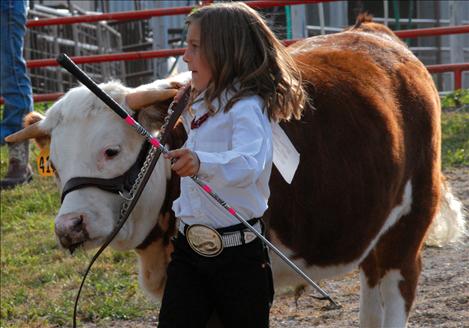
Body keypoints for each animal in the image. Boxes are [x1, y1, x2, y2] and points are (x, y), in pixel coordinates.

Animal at [6, 16, 464, 328]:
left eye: (111, 150)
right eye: (57, 166)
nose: (70, 227)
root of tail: (372, 31)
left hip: (409, 224)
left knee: (397, 287)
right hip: (372, 225)